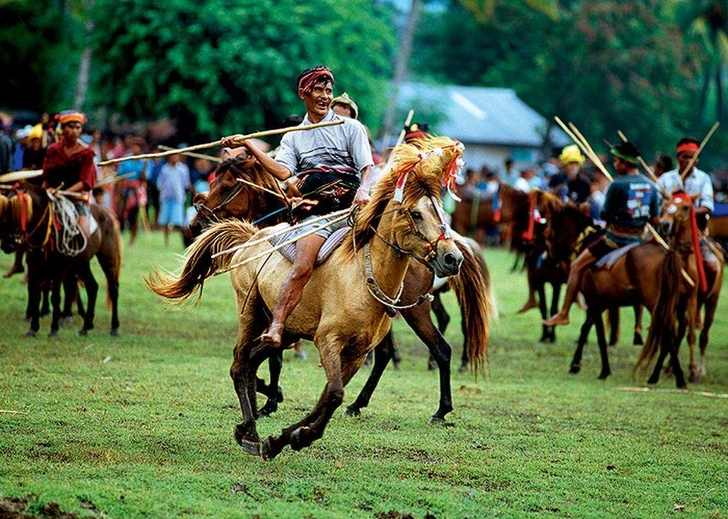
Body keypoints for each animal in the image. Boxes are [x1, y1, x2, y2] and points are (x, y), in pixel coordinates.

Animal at [0, 183, 122, 338]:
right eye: (3, 214)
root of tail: (107, 214)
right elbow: (35, 294)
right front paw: (33, 328)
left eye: (17, 213)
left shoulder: (59, 268)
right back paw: (86, 326)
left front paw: (53, 329)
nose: (7, 245)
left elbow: (56, 296)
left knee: (113, 288)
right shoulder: (34, 265)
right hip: (81, 263)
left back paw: (114, 327)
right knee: (92, 287)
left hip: (107, 258)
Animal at [147, 137, 486, 460]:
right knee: (241, 363)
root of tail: (251, 237)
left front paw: (289, 435)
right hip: (254, 312)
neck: (361, 274)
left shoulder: (356, 352)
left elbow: (329, 395)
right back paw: (251, 430)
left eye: (228, 185)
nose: (451, 258)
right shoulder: (328, 341)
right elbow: (331, 393)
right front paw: (283, 424)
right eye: (416, 213)